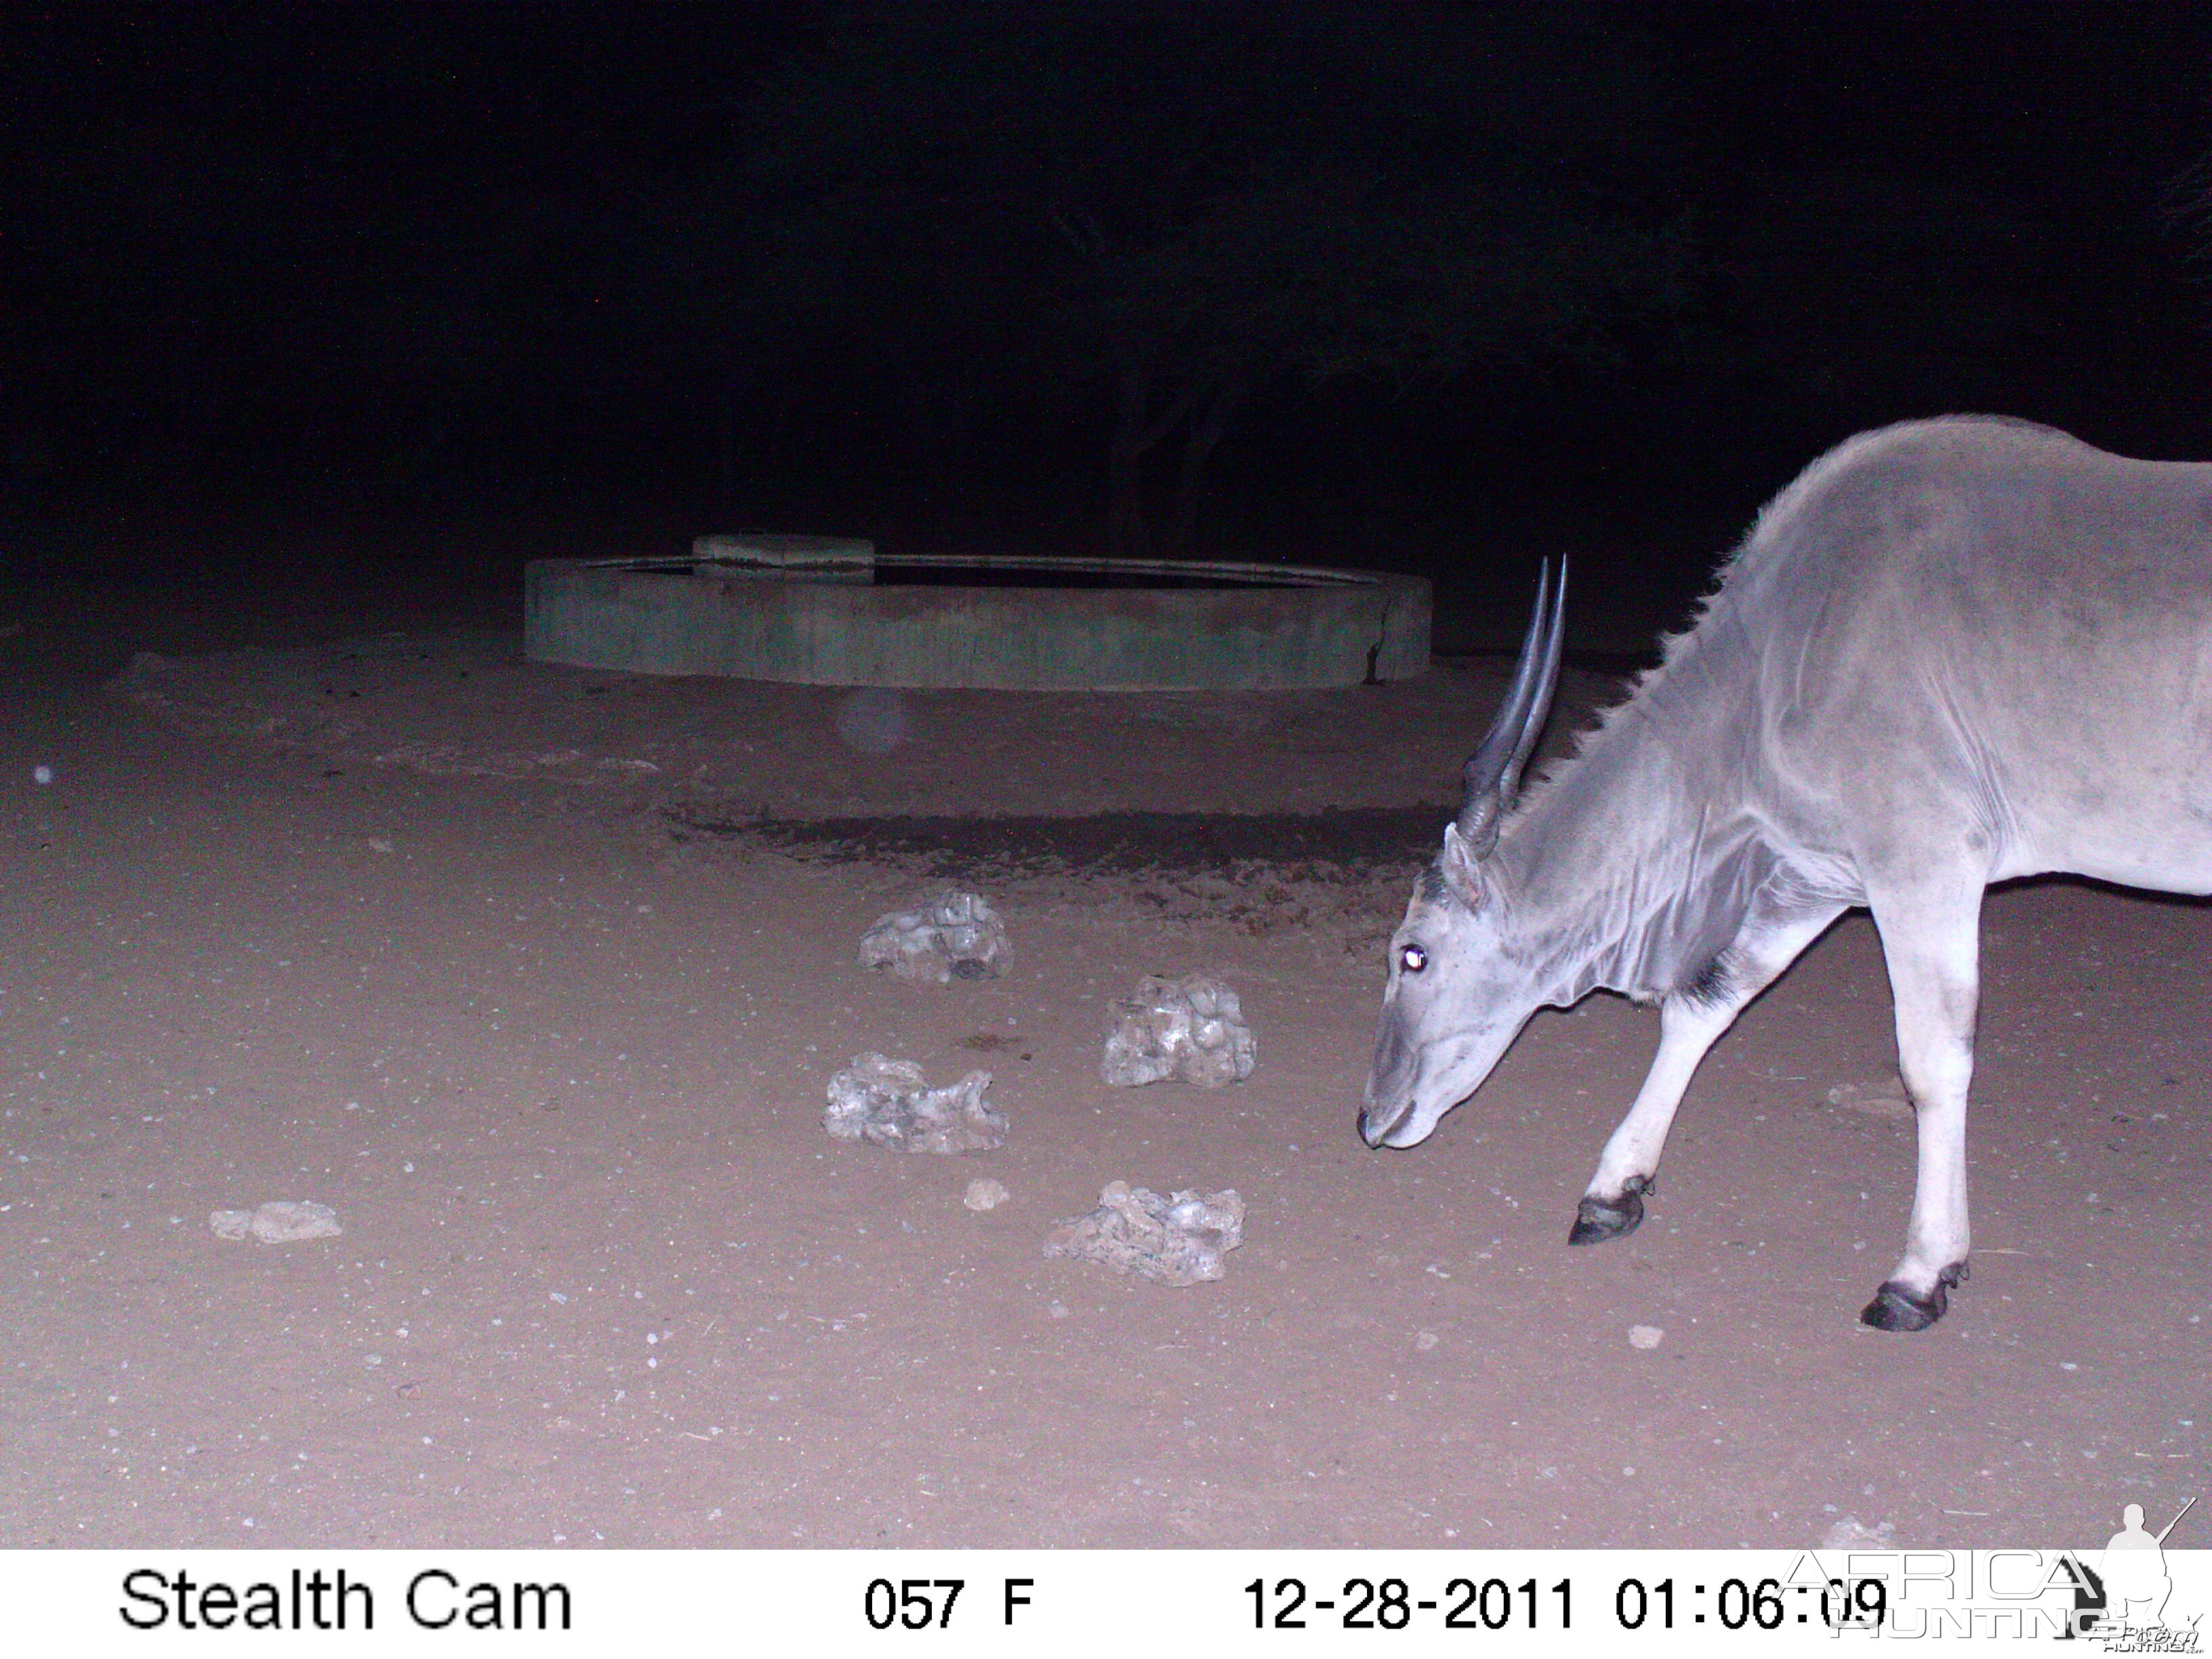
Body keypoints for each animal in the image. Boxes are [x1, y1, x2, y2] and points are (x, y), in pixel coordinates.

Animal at [1353, 417, 2212, 1336]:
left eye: (1413, 955)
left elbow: (1931, 1061)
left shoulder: (1924, 863)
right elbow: (1704, 1004)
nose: (1371, 1119)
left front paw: (1918, 1276)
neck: (1778, 650)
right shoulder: (1815, 876)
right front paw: (1613, 1192)